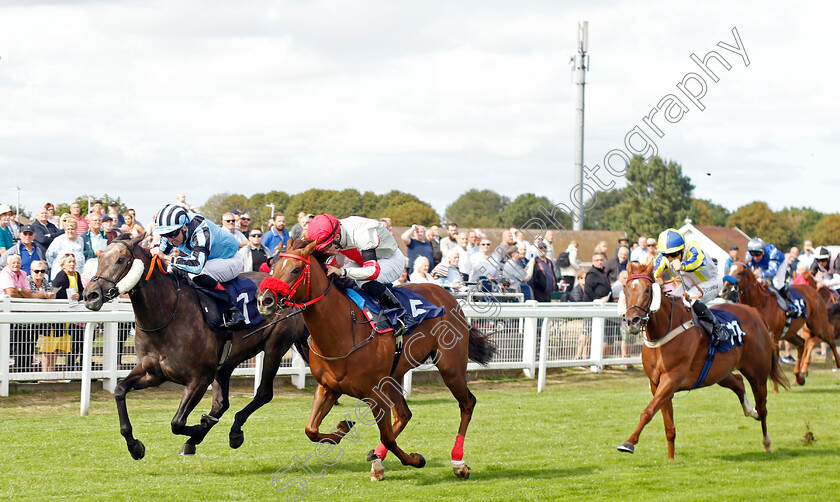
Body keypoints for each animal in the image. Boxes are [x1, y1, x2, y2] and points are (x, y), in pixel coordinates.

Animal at [80, 235, 306, 458]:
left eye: (120, 260)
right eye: (99, 258)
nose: (91, 295)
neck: (167, 315)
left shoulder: (199, 378)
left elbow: (177, 423)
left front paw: (199, 427)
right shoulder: (153, 373)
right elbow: (119, 390)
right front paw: (135, 446)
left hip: (275, 346)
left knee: (263, 393)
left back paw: (233, 431)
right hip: (226, 361)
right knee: (221, 403)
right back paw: (197, 440)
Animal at [253, 239, 496, 482]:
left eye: (296, 269)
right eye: (273, 267)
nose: (264, 300)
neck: (343, 331)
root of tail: (446, 295)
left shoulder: (375, 393)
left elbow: (387, 436)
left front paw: (415, 459)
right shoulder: (328, 387)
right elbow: (311, 430)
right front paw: (343, 429)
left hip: (450, 367)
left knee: (467, 403)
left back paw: (458, 463)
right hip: (394, 375)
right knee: (405, 415)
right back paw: (378, 462)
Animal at [616, 260, 788, 460]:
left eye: (647, 290)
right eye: (626, 290)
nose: (632, 321)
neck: (663, 331)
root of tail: (755, 312)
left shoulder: (672, 378)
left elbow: (648, 411)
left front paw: (629, 442)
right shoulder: (656, 383)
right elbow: (669, 426)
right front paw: (671, 458)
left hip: (757, 374)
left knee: (762, 408)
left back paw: (767, 442)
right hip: (718, 372)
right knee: (738, 382)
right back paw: (749, 410)